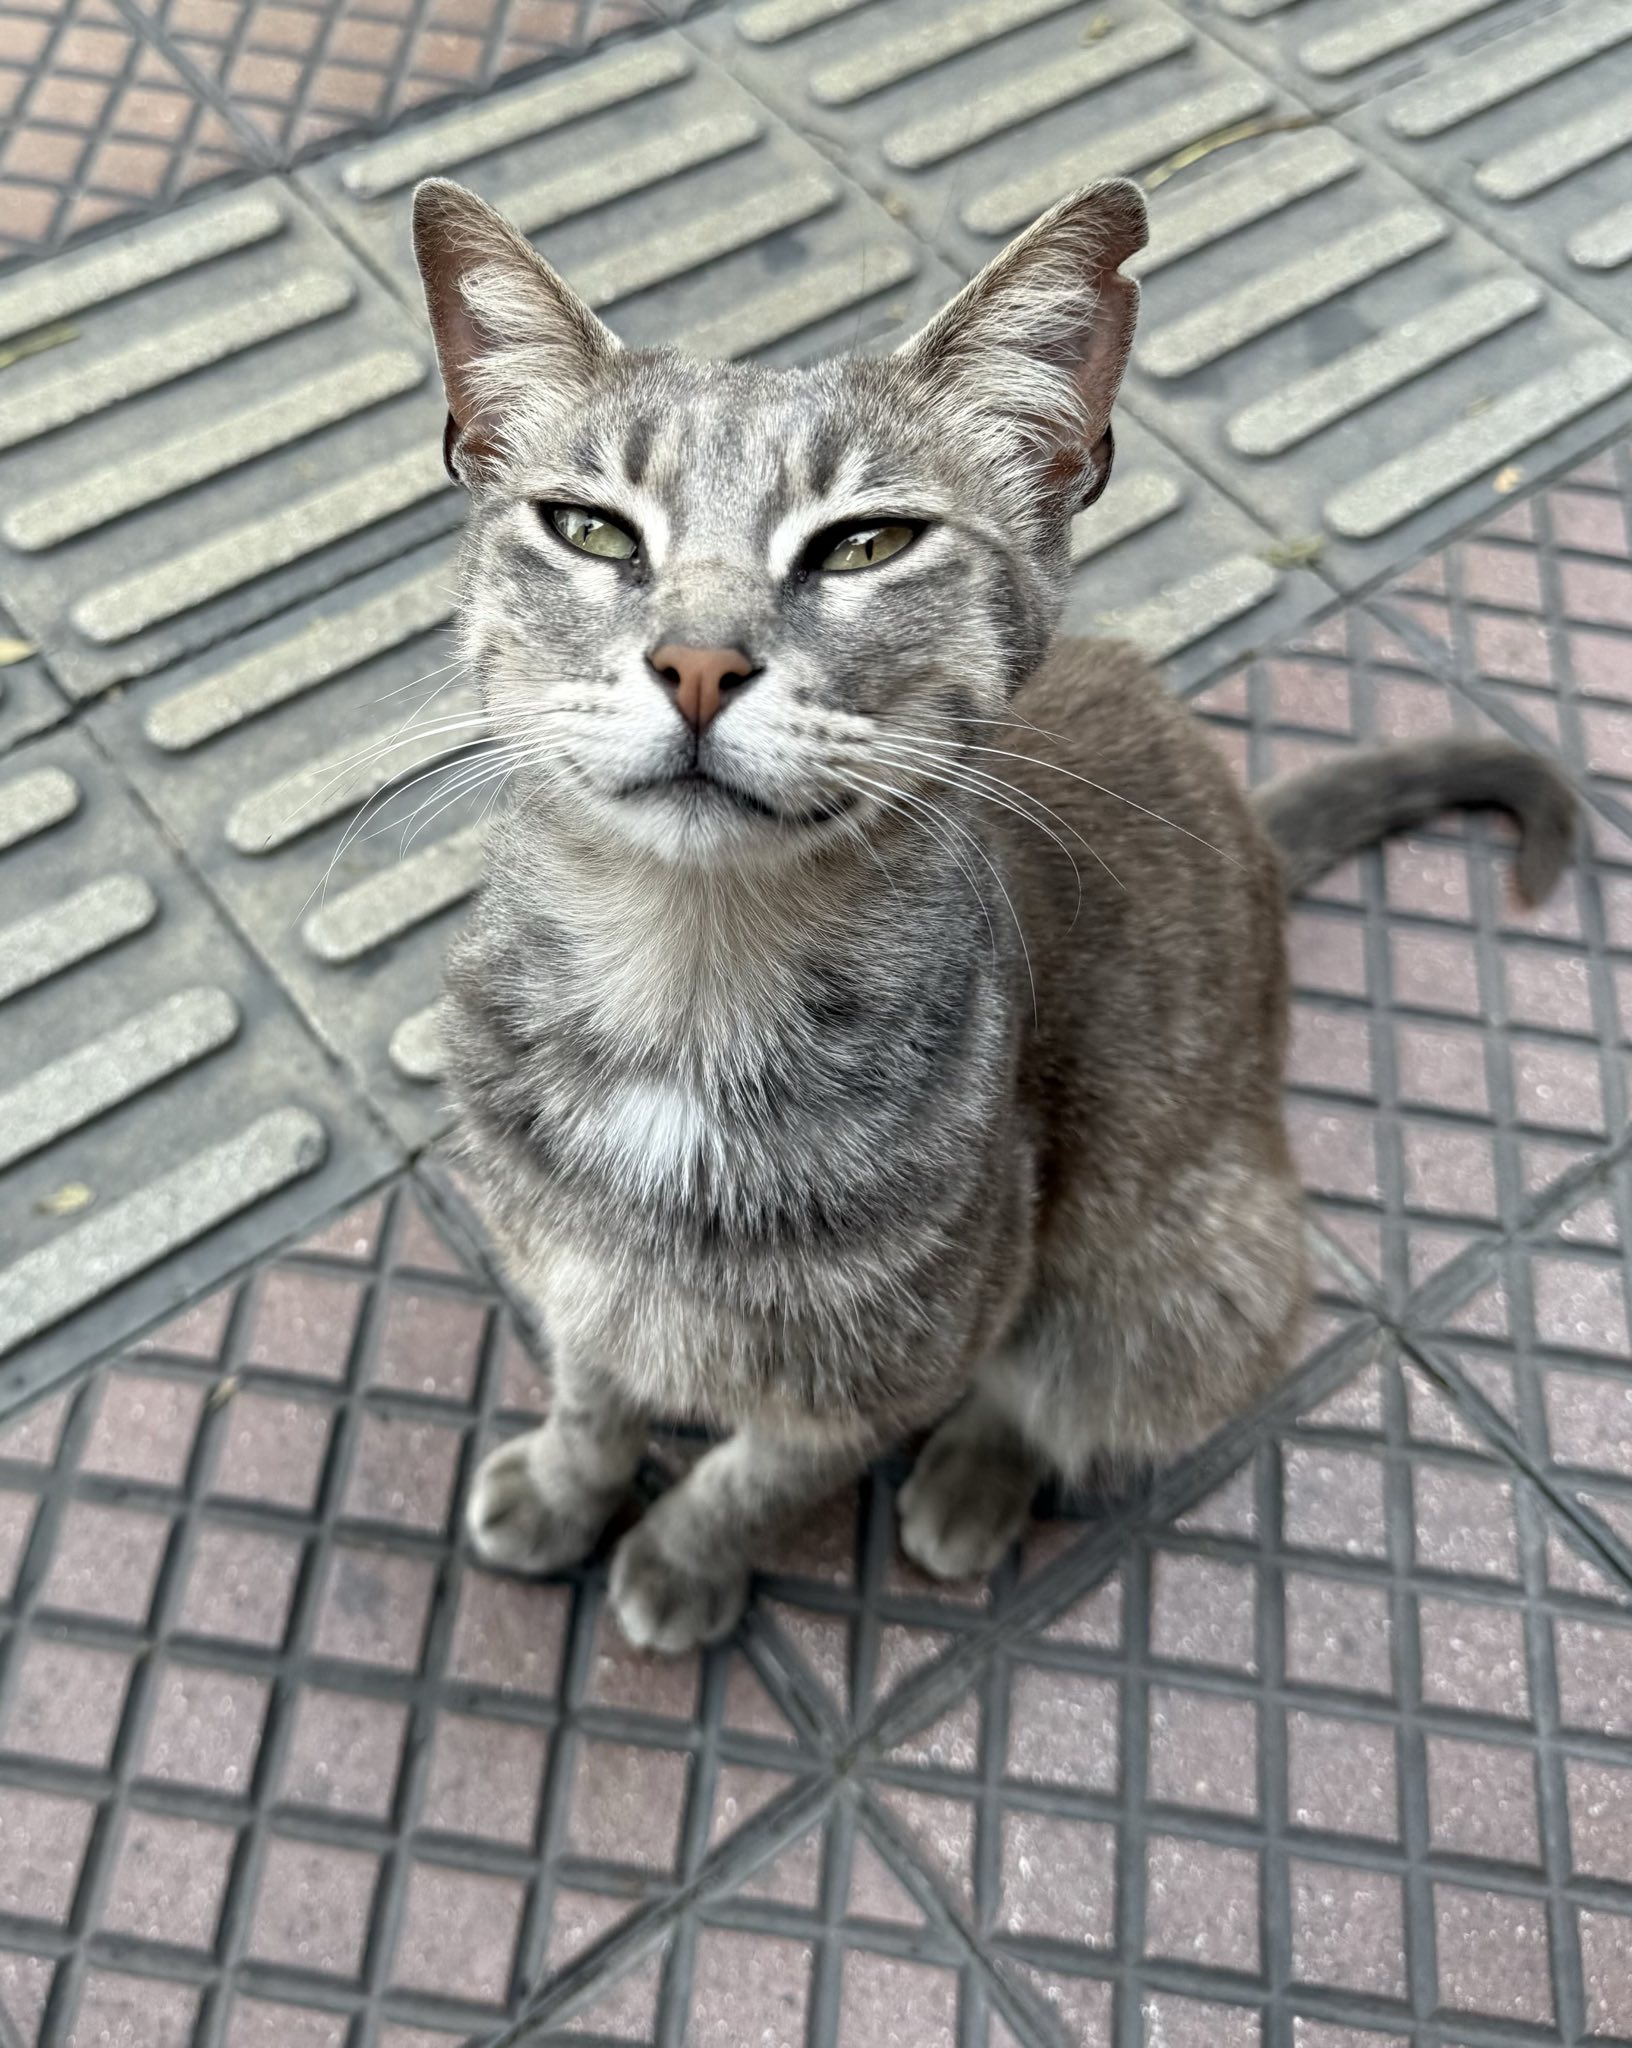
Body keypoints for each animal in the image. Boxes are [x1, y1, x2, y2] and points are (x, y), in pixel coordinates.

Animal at [411, 174, 1575, 1653]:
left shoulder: (900, 1358)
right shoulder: (565, 1272)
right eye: (593, 528)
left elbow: (760, 1471)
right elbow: (589, 1386)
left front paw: (682, 1556)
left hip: (1182, 1270)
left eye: (867, 541)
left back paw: (976, 1479)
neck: (686, 979)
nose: (699, 660)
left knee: (1073, 1382)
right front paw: (569, 1485)